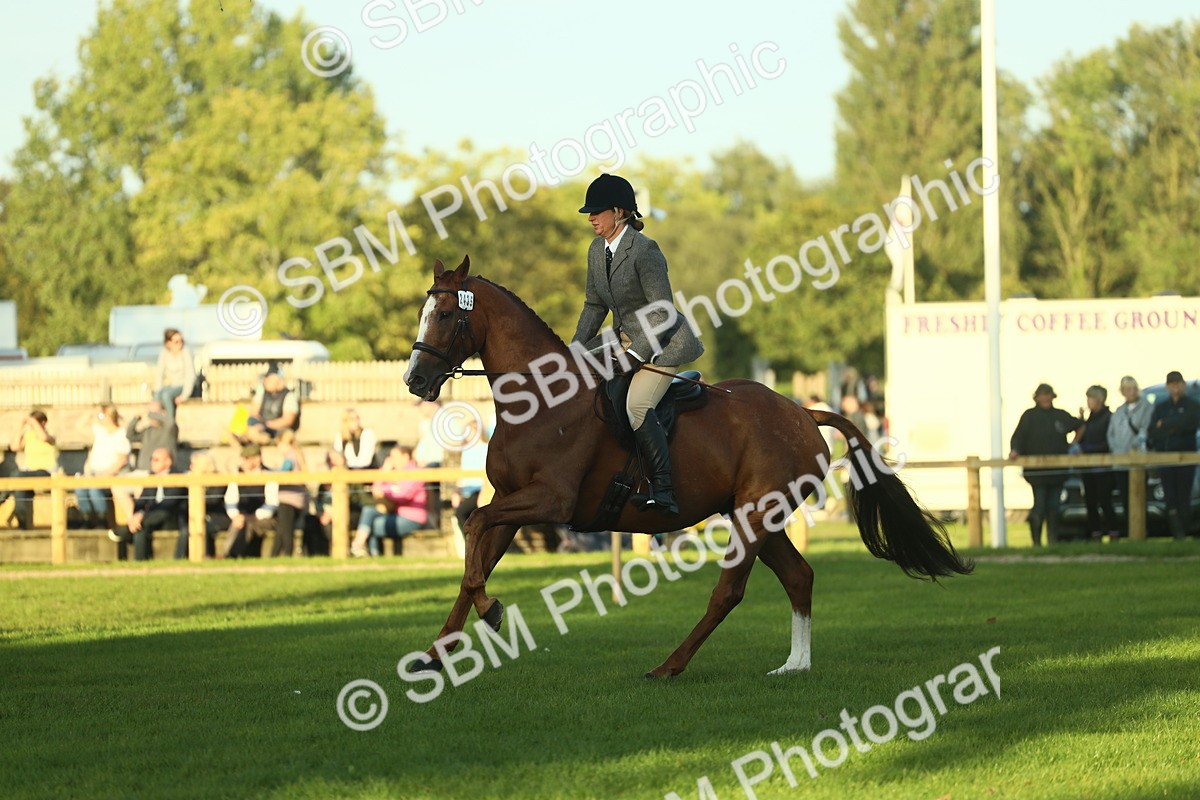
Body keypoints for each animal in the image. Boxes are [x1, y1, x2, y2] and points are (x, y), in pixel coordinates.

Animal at [403, 256, 973, 678]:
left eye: (447, 316)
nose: (414, 380)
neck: (539, 401)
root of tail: (803, 412)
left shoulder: (550, 500)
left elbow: (474, 529)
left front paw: (492, 612)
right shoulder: (511, 502)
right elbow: (475, 559)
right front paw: (435, 655)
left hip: (753, 516)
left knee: (730, 591)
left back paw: (669, 666)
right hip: (758, 516)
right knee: (799, 577)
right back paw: (795, 665)